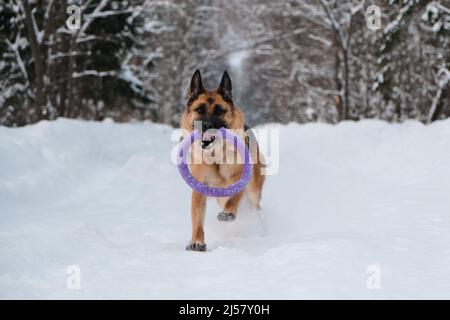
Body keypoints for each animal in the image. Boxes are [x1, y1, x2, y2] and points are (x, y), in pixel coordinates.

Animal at [179, 70, 264, 252]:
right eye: (200, 109)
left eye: (219, 111)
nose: (207, 125)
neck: (215, 156)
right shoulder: (199, 191)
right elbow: (197, 220)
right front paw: (197, 241)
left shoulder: (240, 181)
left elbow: (234, 198)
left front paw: (228, 213)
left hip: (253, 191)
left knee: (254, 206)